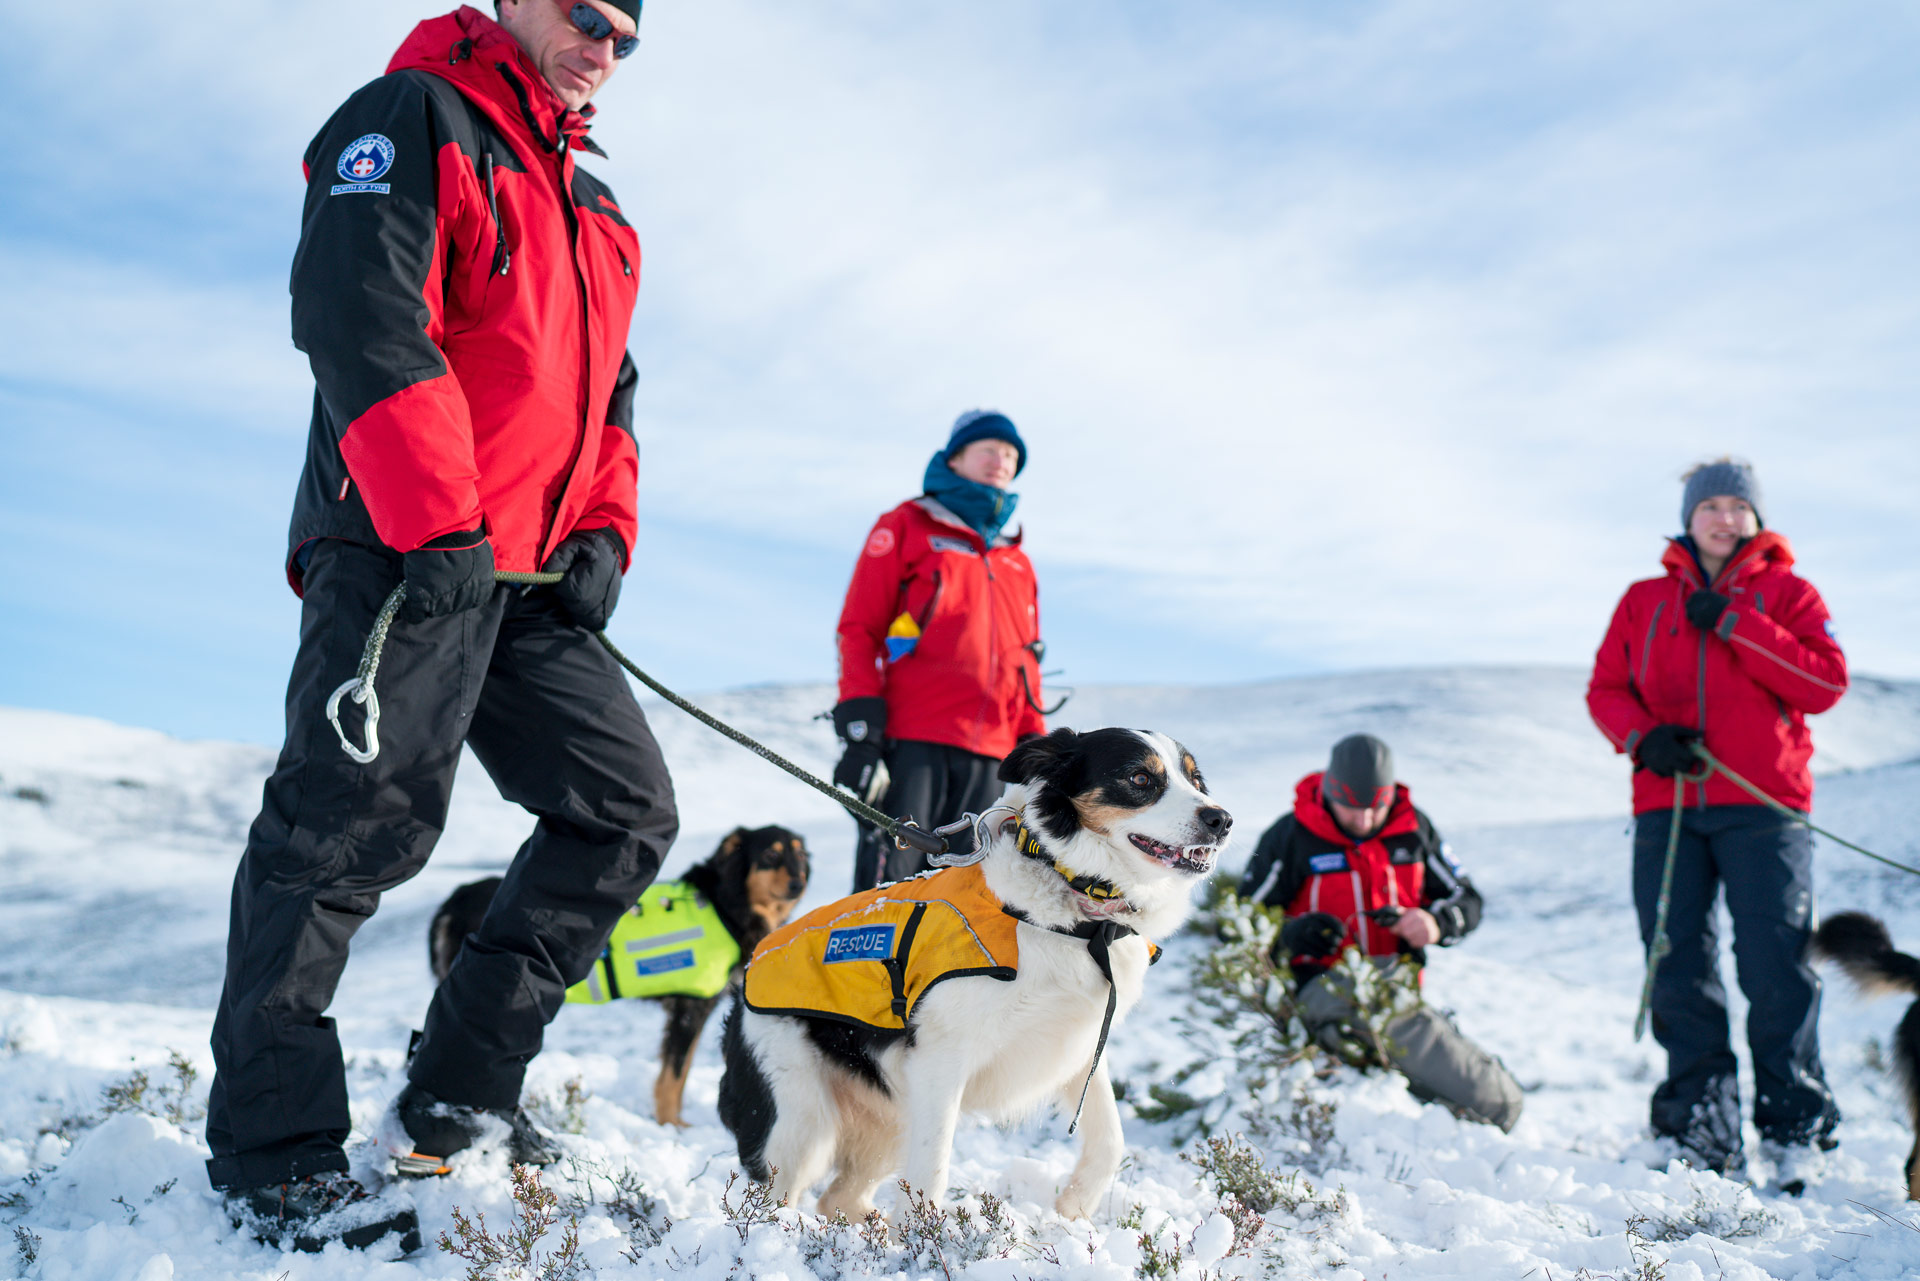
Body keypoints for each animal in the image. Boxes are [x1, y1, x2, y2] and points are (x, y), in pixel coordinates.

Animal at [430, 825, 810, 1129]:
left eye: (800, 856)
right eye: (771, 854)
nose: (798, 883)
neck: (725, 904)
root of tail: (456, 897)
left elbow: (681, 1071)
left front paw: (673, 1121)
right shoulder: (689, 1009)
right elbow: (673, 1077)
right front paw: (671, 1126)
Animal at [718, 729, 1228, 1221]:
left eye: (1195, 780)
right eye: (1140, 779)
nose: (1221, 819)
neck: (1075, 912)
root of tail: (746, 981)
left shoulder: (1079, 1043)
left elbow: (1110, 1138)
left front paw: (1075, 1209)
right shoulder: (940, 1060)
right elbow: (932, 1170)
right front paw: (924, 1241)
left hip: (889, 1116)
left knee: (837, 1198)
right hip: (801, 1122)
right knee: (773, 1202)